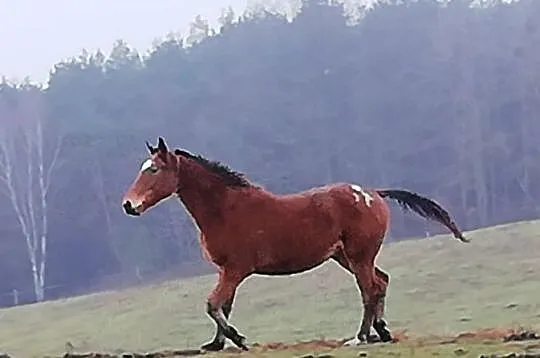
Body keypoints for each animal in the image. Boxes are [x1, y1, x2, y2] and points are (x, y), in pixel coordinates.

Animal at [120, 137, 466, 352]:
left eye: (154, 169)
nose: (128, 205)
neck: (226, 209)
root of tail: (373, 194)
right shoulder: (225, 271)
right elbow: (223, 305)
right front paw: (216, 344)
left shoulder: (236, 269)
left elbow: (213, 303)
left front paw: (239, 339)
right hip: (347, 257)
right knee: (380, 282)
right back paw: (381, 332)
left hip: (359, 255)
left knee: (370, 289)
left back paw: (360, 337)